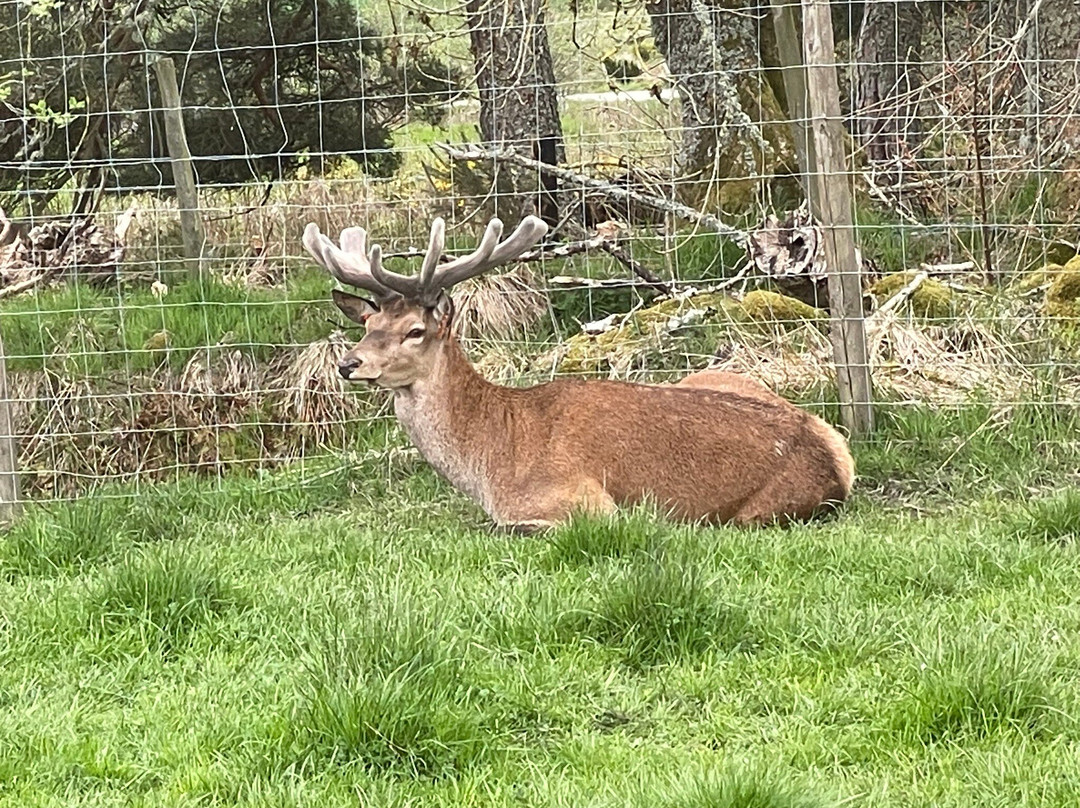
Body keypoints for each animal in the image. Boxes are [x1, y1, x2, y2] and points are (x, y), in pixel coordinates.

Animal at [302, 215, 855, 533]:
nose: (348, 363)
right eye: (368, 323)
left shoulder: (585, 501)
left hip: (756, 512)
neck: (491, 461)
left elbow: (505, 527)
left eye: (415, 330)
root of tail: (834, 460)